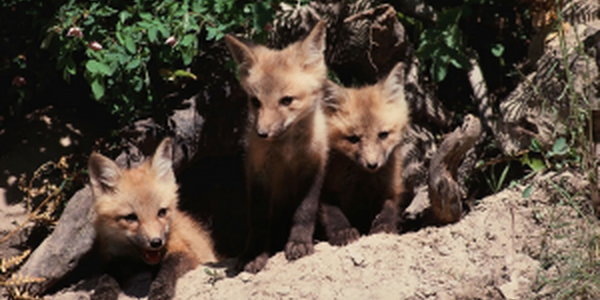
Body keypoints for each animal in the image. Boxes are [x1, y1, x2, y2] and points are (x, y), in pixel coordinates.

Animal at [88, 138, 217, 300]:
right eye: (131, 217)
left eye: (162, 212)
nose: (156, 242)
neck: (139, 261)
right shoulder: (115, 257)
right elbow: (107, 276)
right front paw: (103, 291)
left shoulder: (186, 251)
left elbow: (167, 267)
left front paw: (160, 289)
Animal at [224, 21, 328, 274]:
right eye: (256, 102)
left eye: (287, 100)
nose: (261, 133)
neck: (287, 152)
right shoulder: (257, 173)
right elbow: (258, 221)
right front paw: (253, 255)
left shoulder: (314, 167)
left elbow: (305, 212)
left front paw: (299, 243)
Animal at [322, 62, 410, 246]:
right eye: (353, 139)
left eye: (383, 135)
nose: (372, 165)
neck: (363, 180)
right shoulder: (324, 190)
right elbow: (332, 213)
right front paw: (343, 232)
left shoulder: (391, 188)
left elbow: (389, 208)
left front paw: (384, 227)